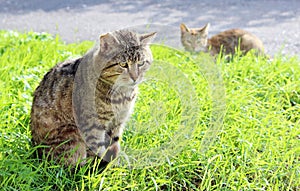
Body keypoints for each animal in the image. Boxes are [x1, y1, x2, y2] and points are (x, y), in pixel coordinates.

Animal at [30, 29, 156, 166]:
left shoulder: (117, 122)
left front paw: (114, 163)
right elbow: (96, 149)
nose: (135, 77)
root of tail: (35, 149)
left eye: (141, 63)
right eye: (123, 64)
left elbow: (114, 144)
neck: (122, 95)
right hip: (71, 136)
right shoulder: (92, 125)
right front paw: (99, 166)